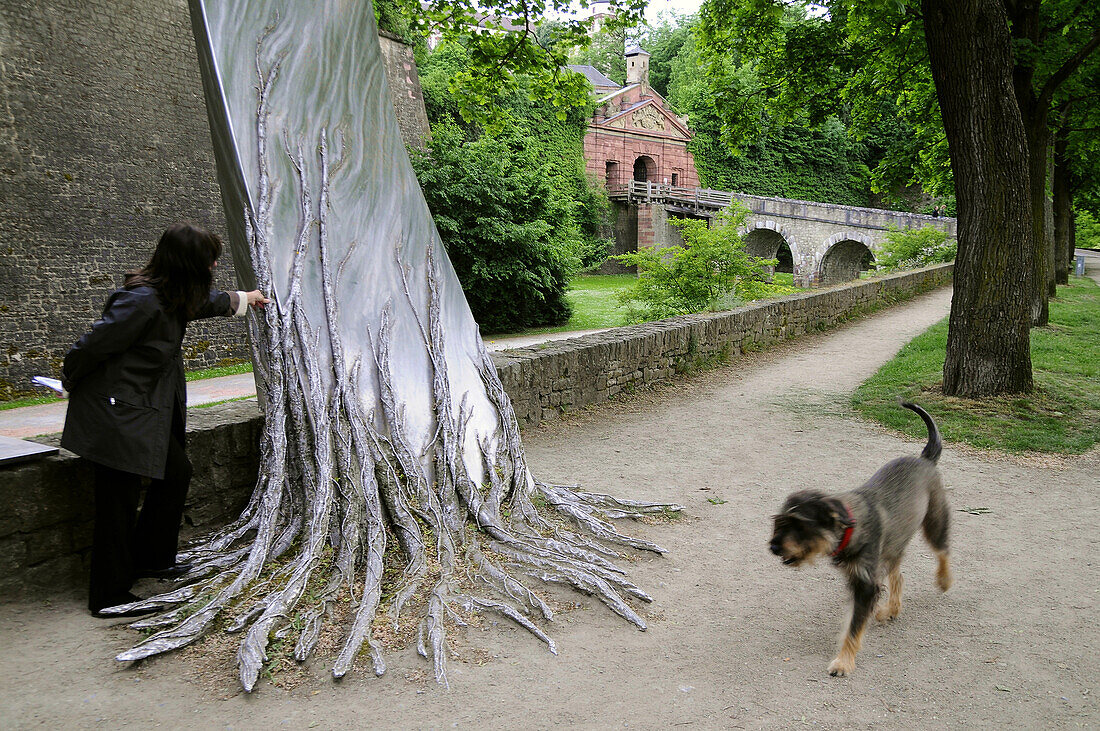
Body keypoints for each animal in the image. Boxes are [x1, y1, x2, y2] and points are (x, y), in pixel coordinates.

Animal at [770, 402, 950, 677]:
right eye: (779, 522)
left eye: (799, 525)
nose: (774, 546)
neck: (851, 527)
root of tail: (924, 458)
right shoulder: (861, 577)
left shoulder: (865, 585)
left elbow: (853, 627)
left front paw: (843, 662)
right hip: (893, 545)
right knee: (898, 574)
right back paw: (892, 609)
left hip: (934, 522)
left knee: (942, 550)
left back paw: (944, 580)